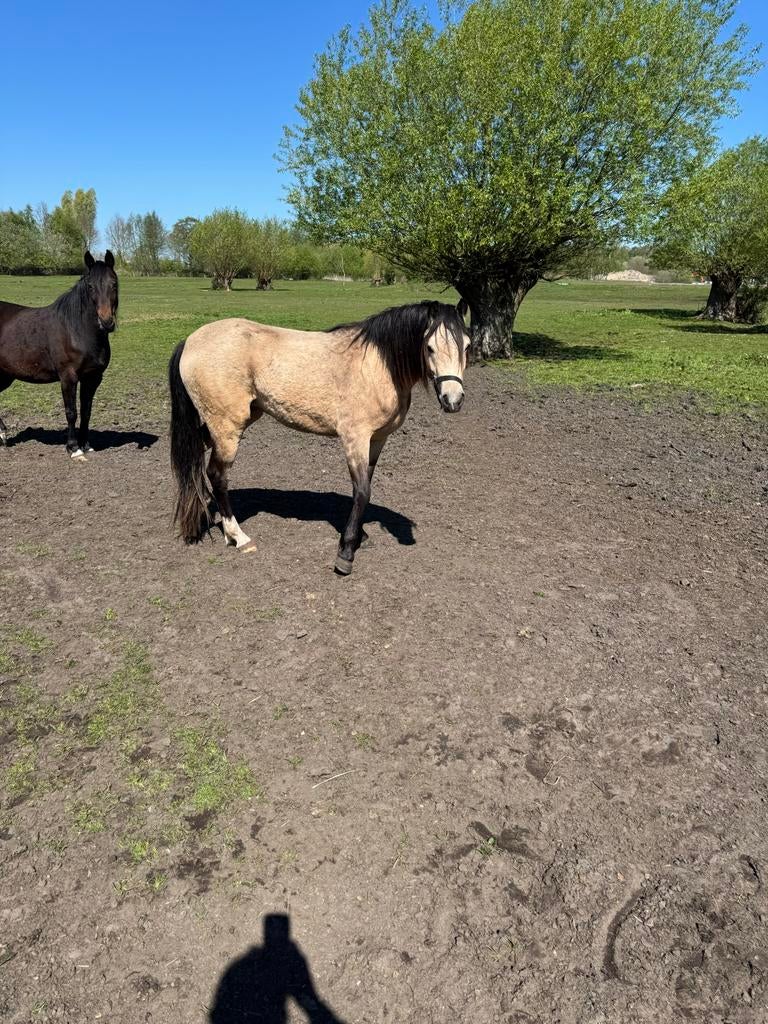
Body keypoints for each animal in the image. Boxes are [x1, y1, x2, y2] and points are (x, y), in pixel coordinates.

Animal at [0, 251, 118, 458]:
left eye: (114, 283)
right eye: (90, 286)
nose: (106, 322)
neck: (76, 330)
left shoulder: (93, 378)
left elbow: (86, 411)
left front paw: (85, 444)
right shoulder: (68, 377)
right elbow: (71, 411)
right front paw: (73, 448)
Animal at [168, 299, 470, 574]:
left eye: (467, 346)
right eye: (429, 347)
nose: (453, 400)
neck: (377, 365)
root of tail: (190, 341)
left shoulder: (377, 440)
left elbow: (366, 485)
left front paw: (359, 536)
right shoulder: (354, 438)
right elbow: (362, 490)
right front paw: (346, 552)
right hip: (227, 428)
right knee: (216, 474)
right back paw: (238, 536)